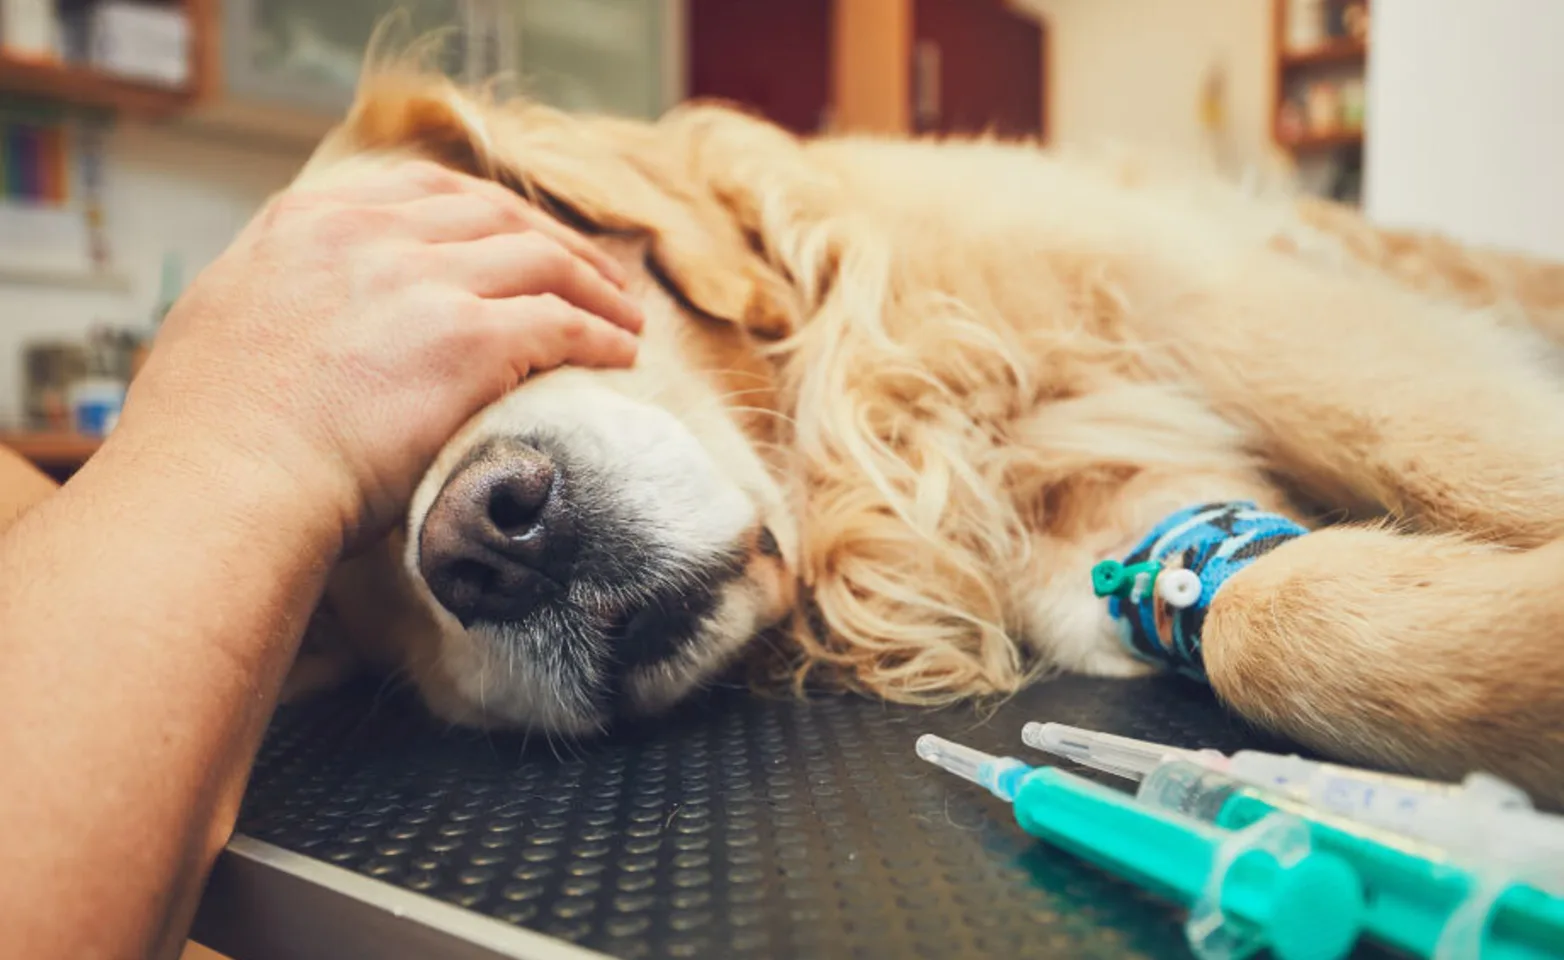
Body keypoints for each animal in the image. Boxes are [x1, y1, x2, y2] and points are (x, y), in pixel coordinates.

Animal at [290, 65, 1564, 806]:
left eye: (499, 296)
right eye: (337, 556)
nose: (484, 544)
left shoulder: (1242, 313)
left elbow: (1466, 460)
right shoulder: (1116, 549)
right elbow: (1271, 619)